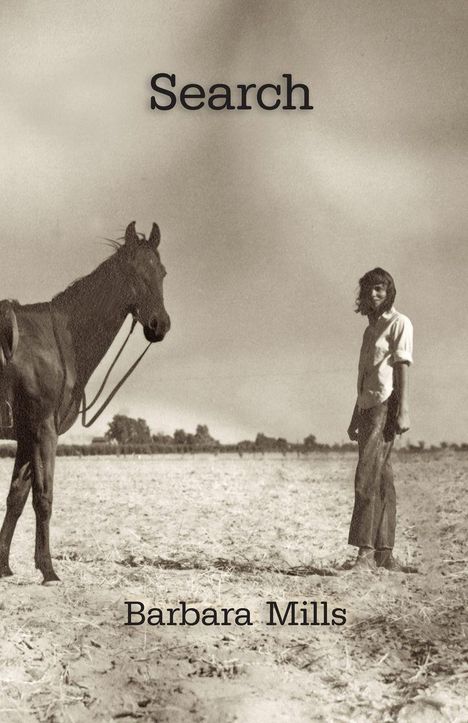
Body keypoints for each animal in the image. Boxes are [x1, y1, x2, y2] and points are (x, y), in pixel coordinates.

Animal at [0, 221, 170, 583]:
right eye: (133, 272)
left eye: (162, 272)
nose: (159, 325)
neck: (58, 340)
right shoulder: (44, 431)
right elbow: (43, 497)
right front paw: (48, 570)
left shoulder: (26, 435)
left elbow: (16, 497)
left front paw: (4, 566)